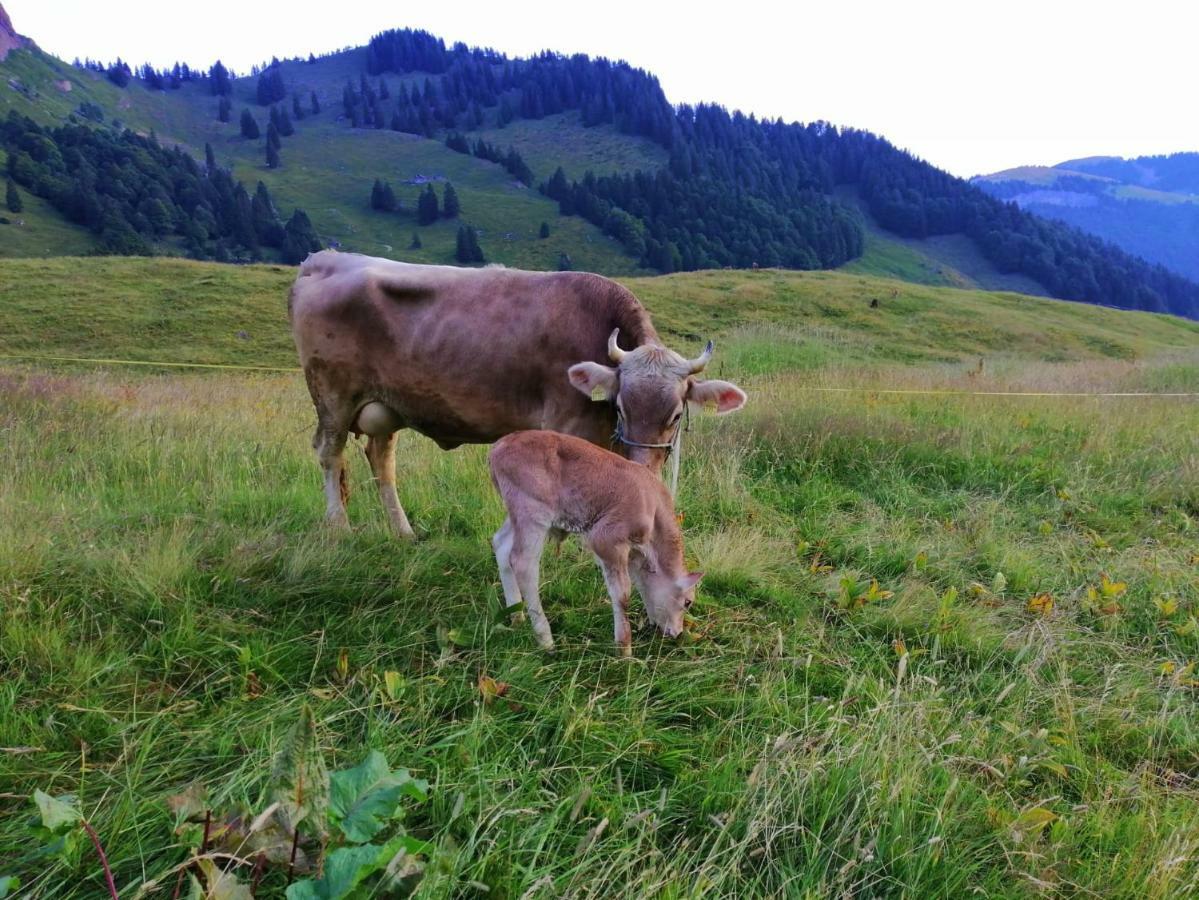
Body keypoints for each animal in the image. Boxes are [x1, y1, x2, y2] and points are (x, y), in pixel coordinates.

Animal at [290, 250, 743, 539]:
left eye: (676, 415)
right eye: (621, 408)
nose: (647, 467)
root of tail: (323, 260)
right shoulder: (566, 423)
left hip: (386, 406)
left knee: (381, 461)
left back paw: (403, 533)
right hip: (332, 394)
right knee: (330, 453)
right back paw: (340, 528)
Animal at [484, 429, 700, 656]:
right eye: (687, 602)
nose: (677, 632)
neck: (653, 507)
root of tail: (499, 446)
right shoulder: (606, 538)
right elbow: (622, 594)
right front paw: (624, 648)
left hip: (516, 513)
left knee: (501, 545)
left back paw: (516, 616)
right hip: (532, 512)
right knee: (523, 564)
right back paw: (546, 640)